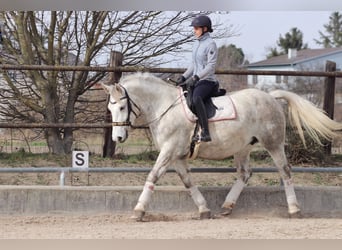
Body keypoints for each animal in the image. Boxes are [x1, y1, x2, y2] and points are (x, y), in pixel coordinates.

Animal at [101, 72, 342, 221]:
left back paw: (294, 209)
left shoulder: (169, 151)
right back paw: (227, 207)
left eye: (121, 107)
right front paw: (204, 209)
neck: (164, 106)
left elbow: (152, 176)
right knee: (245, 174)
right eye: (110, 109)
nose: (118, 137)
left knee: (285, 171)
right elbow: (187, 182)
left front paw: (138, 210)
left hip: (273, 143)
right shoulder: (177, 155)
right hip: (243, 148)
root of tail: (271, 97)